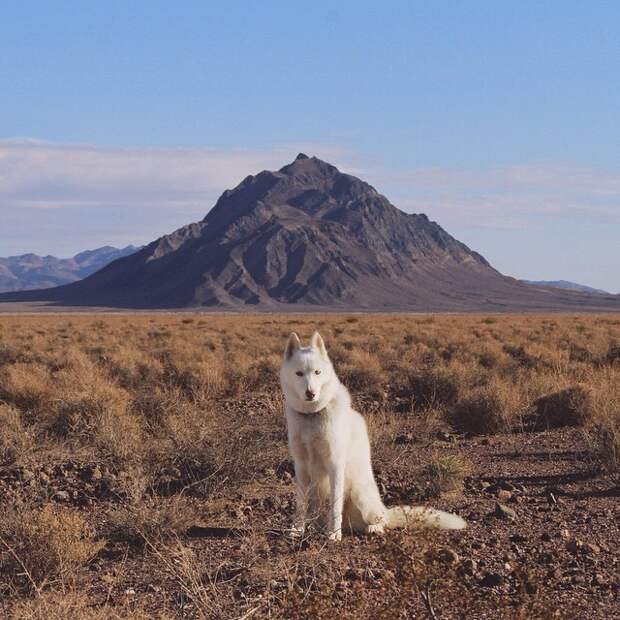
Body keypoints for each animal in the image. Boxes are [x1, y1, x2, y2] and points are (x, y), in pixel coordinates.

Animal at [280, 332, 464, 540]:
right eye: (299, 374)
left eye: (317, 372)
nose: (310, 393)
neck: (312, 416)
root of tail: (384, 510)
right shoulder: (301, 466)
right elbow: (300, 505)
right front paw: (297, 530)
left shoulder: (335, 464)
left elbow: (335, 507)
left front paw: (334, 535)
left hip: (360, 495)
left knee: (378, 521)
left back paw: (370, 528)